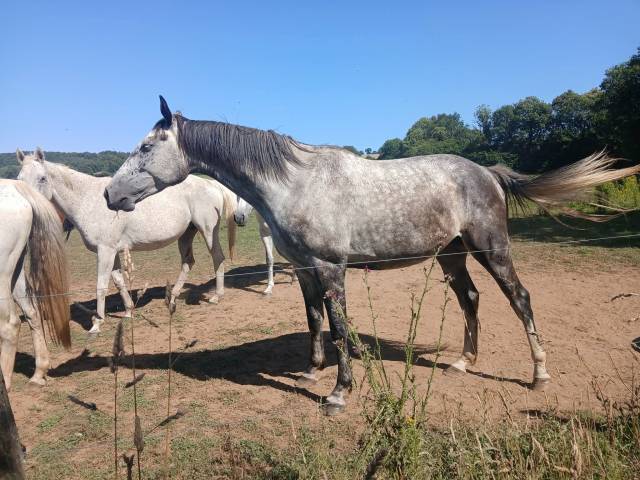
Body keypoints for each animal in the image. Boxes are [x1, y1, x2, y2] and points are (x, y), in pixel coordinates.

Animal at [17, 148, 237, 333]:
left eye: (42, 178)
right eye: (19, 178)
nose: (28, 206)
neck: (88, 200)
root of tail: (211, 184)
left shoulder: (105, 251)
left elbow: (101, 285)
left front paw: (96, 324)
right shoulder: (112, 251)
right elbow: (119, 281)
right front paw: (129, 312)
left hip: (207, 230)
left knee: (217, 258)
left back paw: (216, 297)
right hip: (186, 234)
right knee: (188, 262)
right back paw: (173, 298)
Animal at [104, 96, 640, 415]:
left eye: (147, 146)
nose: (111, 195)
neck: (293, 181)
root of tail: (486, 172)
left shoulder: (329, 267)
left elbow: (341, 326)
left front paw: (339, 393)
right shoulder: (304, 269)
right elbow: (315, 319)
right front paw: (311, 369)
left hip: (492, 249)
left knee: (520, 299)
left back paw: (539, 375)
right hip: (452, 256)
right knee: (470, 299)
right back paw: (463, 363)